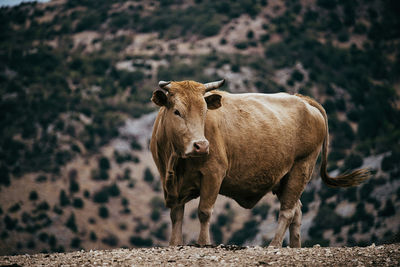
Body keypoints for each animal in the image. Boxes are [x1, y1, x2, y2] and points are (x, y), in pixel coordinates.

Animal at [149, 80, 368, 249]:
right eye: (177, 111)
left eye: (204, 112)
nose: (201, 146)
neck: (176, 161)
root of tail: (303, 100)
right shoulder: (170, 183)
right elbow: (176, 214)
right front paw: (175, 243)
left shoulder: (213, 174)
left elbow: (204, 211)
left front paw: (203, 243)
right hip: (285, 178)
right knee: (297, 209)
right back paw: (295, 246)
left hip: (302, 167)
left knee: (288, 211)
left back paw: (274, 245)